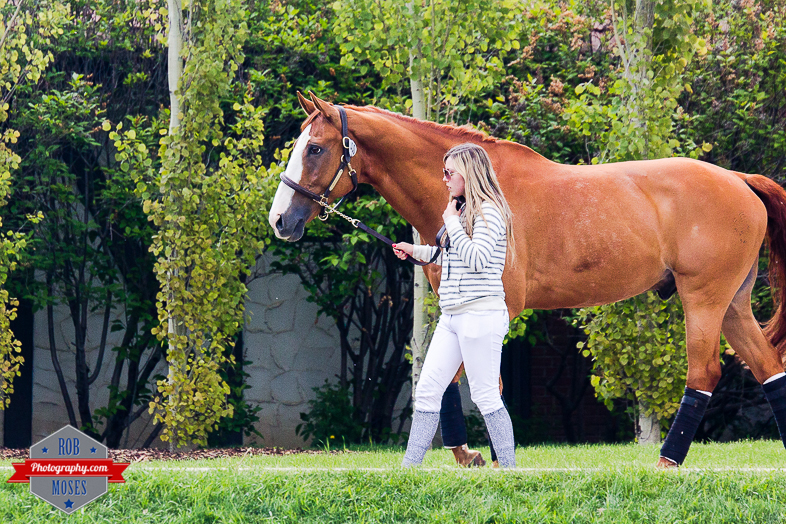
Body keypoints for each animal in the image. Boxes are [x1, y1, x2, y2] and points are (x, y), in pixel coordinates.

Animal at [268, 91, 786, 467]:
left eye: (315, 148)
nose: (279, 220)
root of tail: (740, 180)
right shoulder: (454, 305)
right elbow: (448, 378)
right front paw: (469, 454)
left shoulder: (495, 310)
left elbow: (485, 383)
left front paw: (495, 458)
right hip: (733, 305)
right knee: (767, 367)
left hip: (703, 299)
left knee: (704, 373)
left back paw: (666, 463)